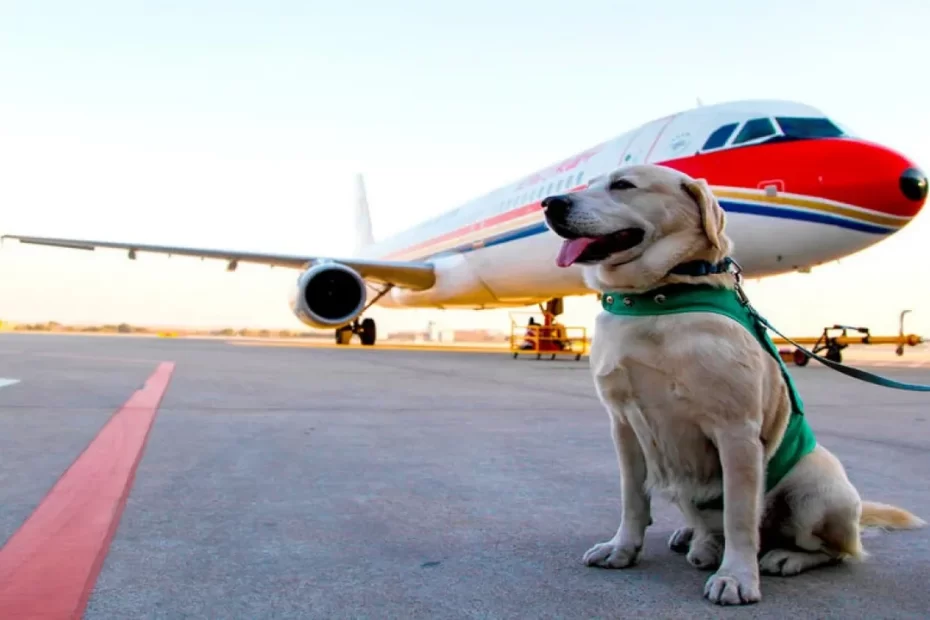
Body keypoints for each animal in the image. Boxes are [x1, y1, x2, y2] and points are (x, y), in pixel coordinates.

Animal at [540, 163, 924, 604]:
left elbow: (740, 515)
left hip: (818, 484)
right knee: (708, 523)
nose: (550, 203)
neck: (658, 298)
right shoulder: (623, 425)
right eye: (587, 183)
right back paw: (698, 541)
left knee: (832, 549)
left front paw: (737, 577)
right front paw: (623, 548)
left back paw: (784, 556)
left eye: (623, 185)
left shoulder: (736, 430)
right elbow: (632, 499)